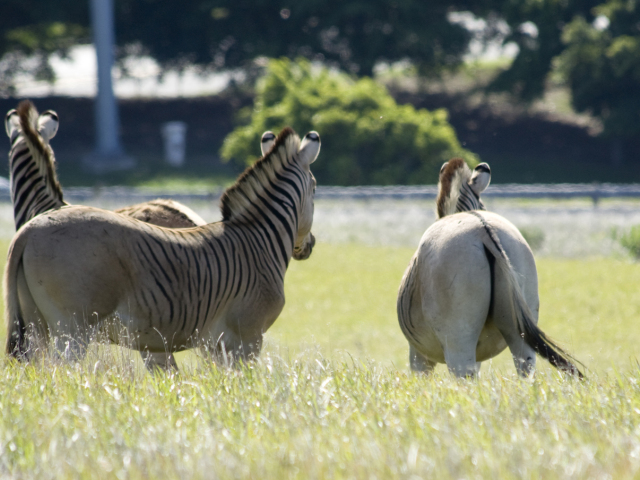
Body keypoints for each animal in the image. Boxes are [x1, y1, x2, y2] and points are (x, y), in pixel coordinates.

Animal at [5, 127, 321, 371]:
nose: (309, 246)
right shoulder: (247, 338)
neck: (258, 240)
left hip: (36, 326)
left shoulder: (218, 345)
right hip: (72, 330)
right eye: (316, 189)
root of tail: (29, 230)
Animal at [397, 159, 583, 378]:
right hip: (519, 329)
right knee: (525, 370)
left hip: (458, 341)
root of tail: (482, 229)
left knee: (464, 377)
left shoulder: (418, 355)